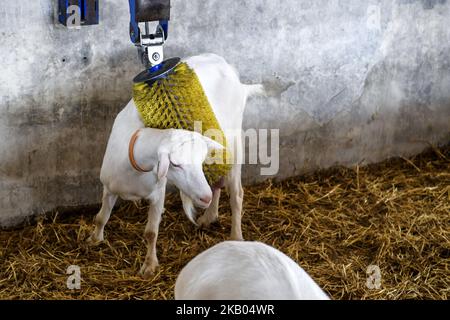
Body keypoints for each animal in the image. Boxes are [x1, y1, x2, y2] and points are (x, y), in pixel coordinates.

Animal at [88, 53, 264, 278]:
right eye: (175, 164)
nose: (204, 197)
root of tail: (235, 76)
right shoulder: (109, 187)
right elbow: (101, 217)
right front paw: (94, 239)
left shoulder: (157, 193)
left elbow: (151, 232)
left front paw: (149, 266)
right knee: (216, 183)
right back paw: (209, 215)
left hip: (234, 143)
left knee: (237, 194)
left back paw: (236, 237)